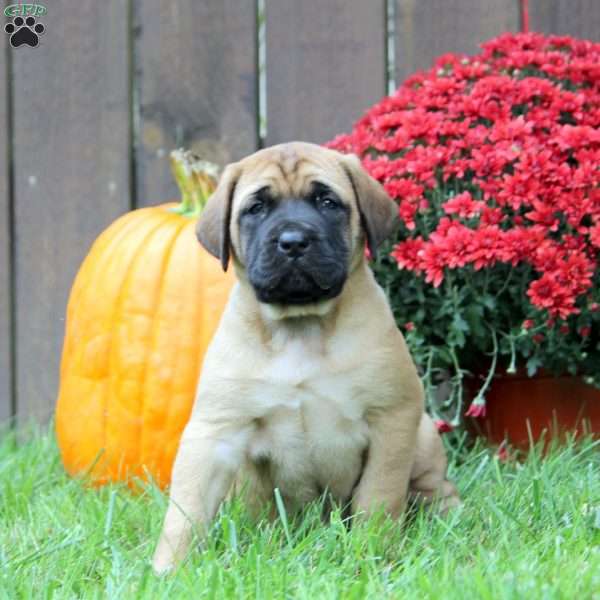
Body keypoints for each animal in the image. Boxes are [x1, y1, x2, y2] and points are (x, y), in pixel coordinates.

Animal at [154, 141, 460, 572]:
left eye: (327, 202)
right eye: (256, 208)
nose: (294, 241)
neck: (300, 329)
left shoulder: (392, 418)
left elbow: (378, 497)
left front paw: (372, 553)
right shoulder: (214, 431)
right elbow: (187, 509)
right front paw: (169, 568)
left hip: (423, 434)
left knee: (434, 488)